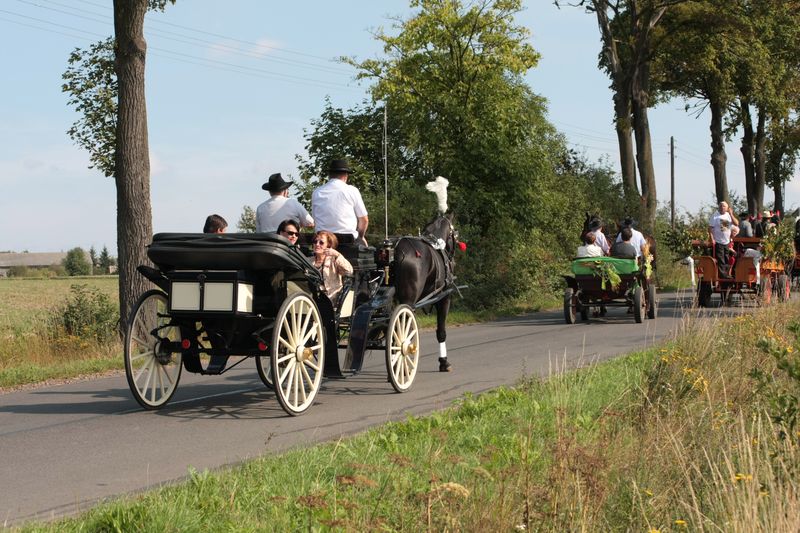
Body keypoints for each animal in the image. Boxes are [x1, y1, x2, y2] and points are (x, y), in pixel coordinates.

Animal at [392, 212, 456, 370]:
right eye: (454, 233)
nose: (453, 260)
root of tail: (397, 251)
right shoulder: (444, 298)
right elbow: (441, 332)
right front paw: (444, 362)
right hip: (408, 301)